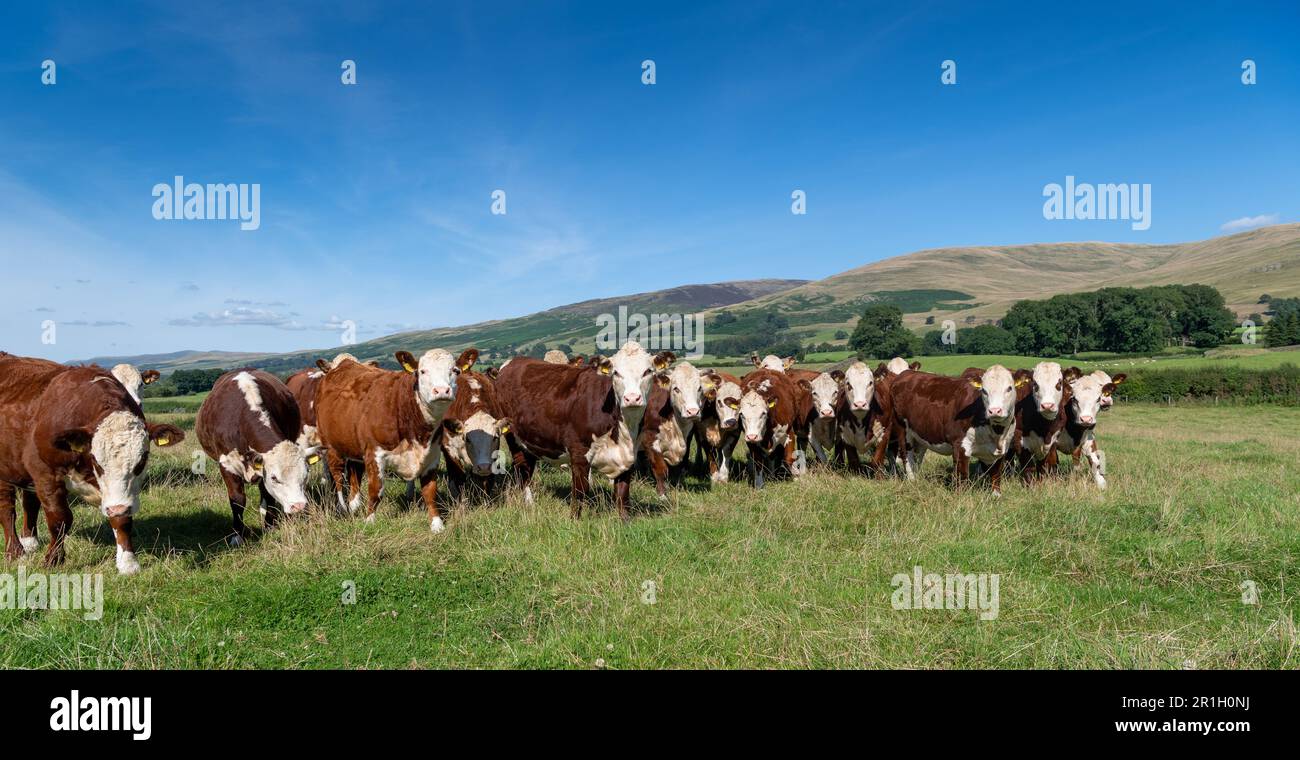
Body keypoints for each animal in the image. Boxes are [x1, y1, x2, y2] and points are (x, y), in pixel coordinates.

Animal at [0, 353, 183, 571]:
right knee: (7, 510)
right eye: (96, 459)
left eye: (143, 459)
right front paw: (53, 559)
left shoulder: (119, 495)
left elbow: (121, 518)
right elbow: (59, 518)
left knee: (29, 503)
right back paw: (15, 551)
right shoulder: (45, 473)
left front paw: (128, 562)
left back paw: (29, 542)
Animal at [193, 368, 318, 543]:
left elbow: (267, 495)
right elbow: (237, 500)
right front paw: (237, 535)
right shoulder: (227, 465)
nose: (299, 506)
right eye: (274, 478)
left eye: (305, 475)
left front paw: (270, 526)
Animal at [315, 345, 467, 530]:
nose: (442, 391)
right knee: (338, 477)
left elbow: (430, 491)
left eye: (455, 371)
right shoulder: (374, 453)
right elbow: (376, 490)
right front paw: (369, 521)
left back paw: (354, 505)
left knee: (354, 473)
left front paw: (437, 524)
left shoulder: (431, 455)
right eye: (422, 371)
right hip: (331, 447)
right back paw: (343, 508)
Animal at [491, 340, 665, 519]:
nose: (632, 398)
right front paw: (575, 519)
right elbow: (580, 491)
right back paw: (529, 503)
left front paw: (624, 520)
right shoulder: (579, 452)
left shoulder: (628, 456)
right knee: (522, 468)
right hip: (512, 436)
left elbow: (622, 495)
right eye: (616, 373)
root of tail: (512, 362)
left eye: (648, 371)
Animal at [894, 363, 1024, 493]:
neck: (996, 433)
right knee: (906, 456)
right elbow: (962, 477)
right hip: (903, 430)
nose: (995, 411)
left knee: (918, 456)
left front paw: (996, 494)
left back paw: (918, 479)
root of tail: (906, 373)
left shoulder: (1003, 448)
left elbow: (996, 476)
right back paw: (912, 481)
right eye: (984, 391)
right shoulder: (960, 445)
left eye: (1009, 388)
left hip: (921, 434)